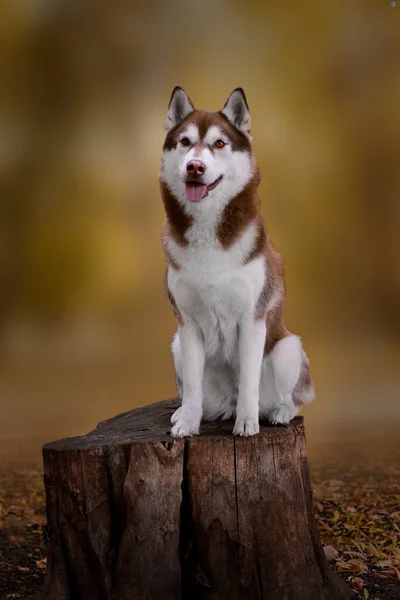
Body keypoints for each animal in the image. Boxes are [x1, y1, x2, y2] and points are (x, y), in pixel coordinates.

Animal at [159, 86, 312, 438]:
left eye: (219, 143)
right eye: (185, 141)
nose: (195, 167)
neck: (208, 227)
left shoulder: (251, 319)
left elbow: (249, 380)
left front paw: (247, 422)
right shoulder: (187, 323)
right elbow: (192, 387)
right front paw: (187, 423)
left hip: (287, 349)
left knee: (293, 398)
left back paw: (278, 413)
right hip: (175, 345)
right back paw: (193, 412)